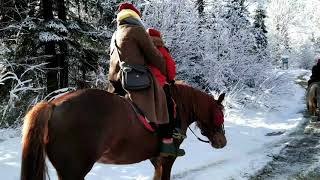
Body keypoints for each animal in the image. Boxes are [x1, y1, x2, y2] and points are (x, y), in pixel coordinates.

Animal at [20, 82, 226, 179]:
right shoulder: (168, 159)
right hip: (73, 172)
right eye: (220, 113)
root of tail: (53, 105)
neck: (177, 106)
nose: (222, 142)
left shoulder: (156, 159)